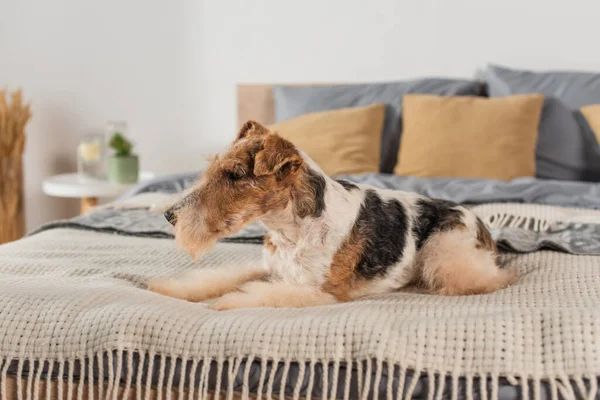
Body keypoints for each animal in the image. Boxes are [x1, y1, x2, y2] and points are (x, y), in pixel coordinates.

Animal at [148, 119, 516, 310]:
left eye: (235, 175)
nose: (169, 216)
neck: (292, 230)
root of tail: (482, 224)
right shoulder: (270, 268)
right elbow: (216, 279)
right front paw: (168, 289)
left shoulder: (319, 291)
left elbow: (252, 296)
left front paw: (224, 303)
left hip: (444, 250)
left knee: (492, 278)